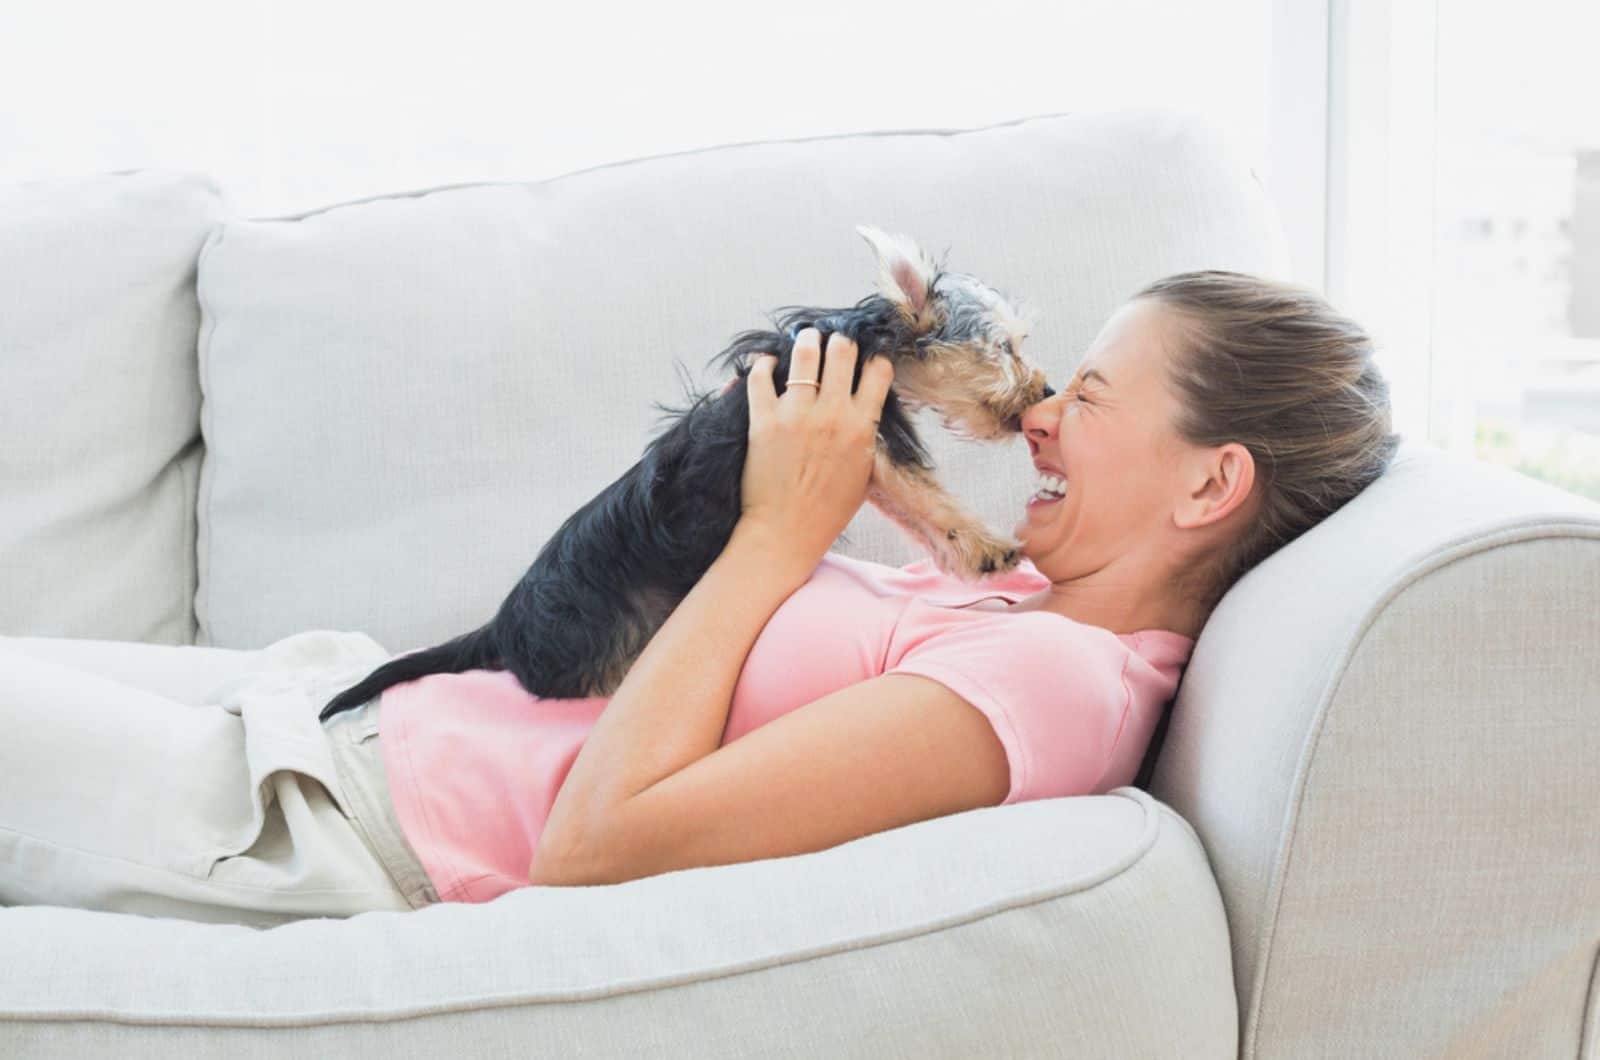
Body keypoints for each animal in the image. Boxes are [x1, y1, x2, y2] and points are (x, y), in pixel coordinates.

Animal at [318, 222, 1056, 723]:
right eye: (1004, 347)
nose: (1045, 390)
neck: (859, 339)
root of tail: (499, 629)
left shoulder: (866, 453)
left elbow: (915, 506)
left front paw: (969, 558)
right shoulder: (867, 441)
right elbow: (926, 495)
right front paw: (990, 548)